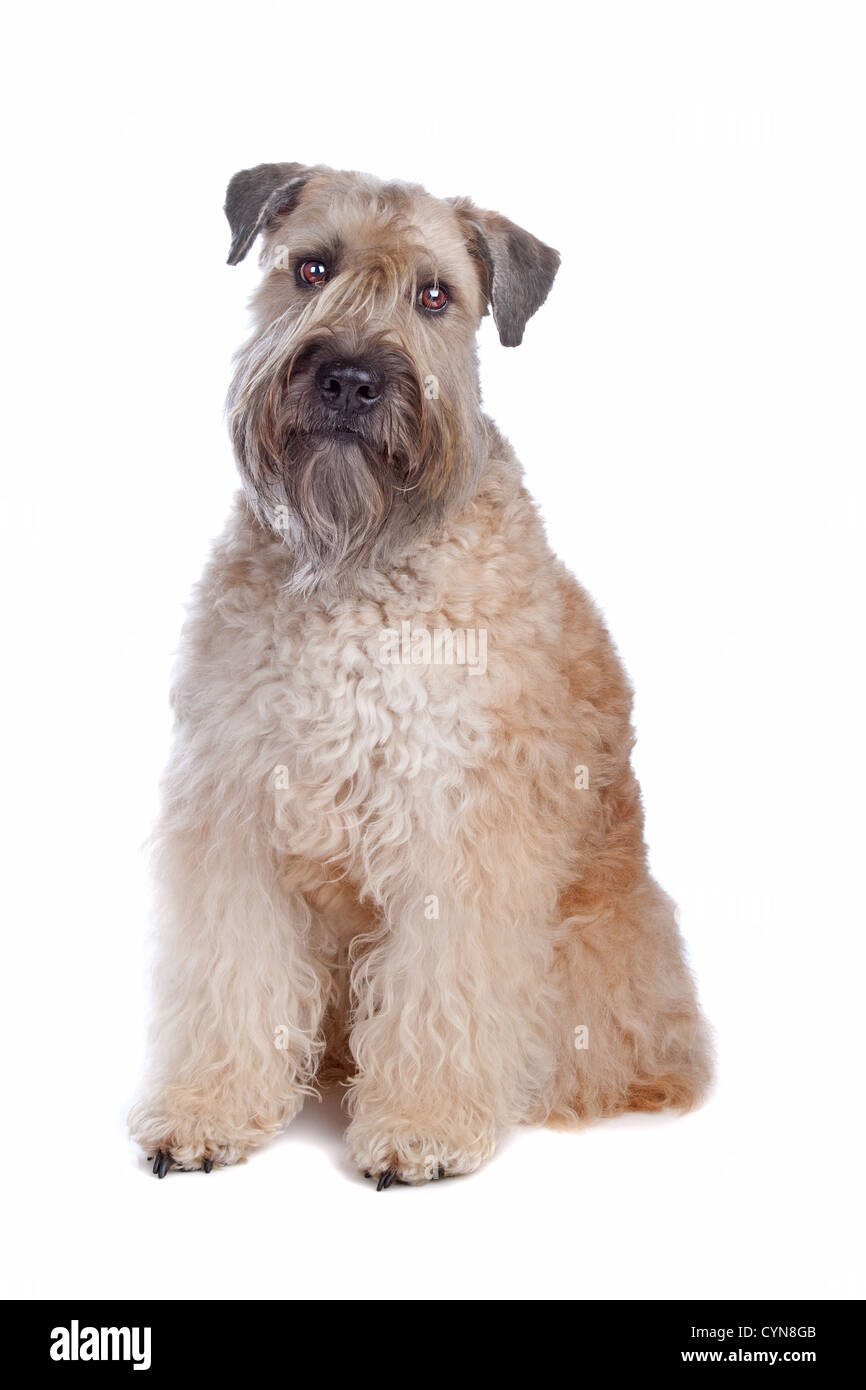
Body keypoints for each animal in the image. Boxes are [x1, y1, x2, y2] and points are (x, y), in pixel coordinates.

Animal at [128, 162, 711, 1184]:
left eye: (434, 295)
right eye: (312, 267)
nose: (350, 378)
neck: (354, 572)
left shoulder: (460, 827)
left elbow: (446, 990)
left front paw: (421, 1129)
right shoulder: (236, 810)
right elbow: (233, 976)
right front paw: (208, 1109)